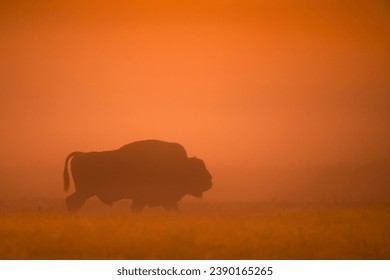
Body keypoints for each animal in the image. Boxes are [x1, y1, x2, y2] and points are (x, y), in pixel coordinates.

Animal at [63, 140, 213, 212]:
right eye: (197, 170)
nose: (209, 182)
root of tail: (81, 154)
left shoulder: (164, 200)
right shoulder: (145, 199)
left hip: (84, 192)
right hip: (84, 191)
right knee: (72, 202)